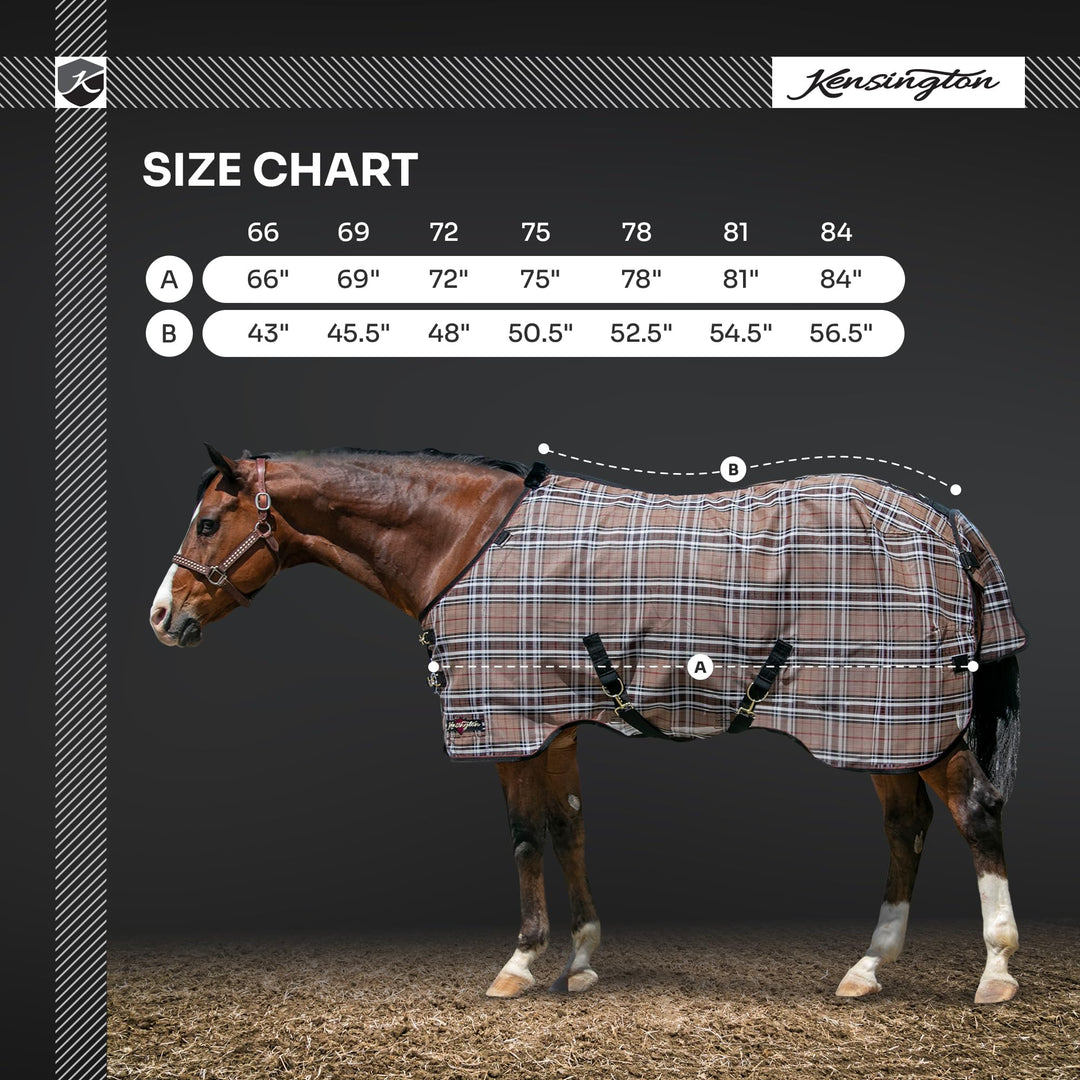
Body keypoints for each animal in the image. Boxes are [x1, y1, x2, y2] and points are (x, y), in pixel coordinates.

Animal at [149, 445, 1025, 1004]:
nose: (161, 617)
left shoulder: (505, 724)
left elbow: (524, 836)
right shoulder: (556, 724)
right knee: (907, 826)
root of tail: (946, 523)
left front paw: (520, 964)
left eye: (206, 523)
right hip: (883, 730)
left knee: (974, 812)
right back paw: (868, 968)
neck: (467, 542)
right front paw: (581, 960)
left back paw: (995, 972)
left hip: (911, 722)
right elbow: (568, 827)